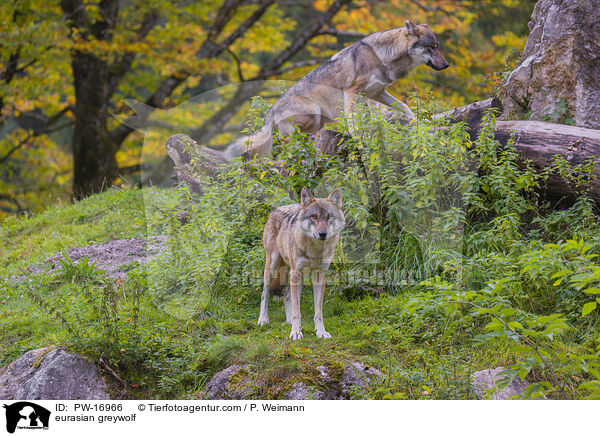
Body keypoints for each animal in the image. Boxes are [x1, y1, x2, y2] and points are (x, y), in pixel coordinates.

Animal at [227, 20, 448, 159]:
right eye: (432, 47)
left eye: (438, 46)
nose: (446, 65)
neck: (381, 56)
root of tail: (271, 110)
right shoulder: (351, 92)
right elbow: (354, 122)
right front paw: (360, 141)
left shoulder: (376, 93)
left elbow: (404, 107)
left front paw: (419, 123)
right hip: (313, 114)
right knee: (285, 145)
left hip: (317, 123)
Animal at [258, 187, 346, 340]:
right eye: (314, 217)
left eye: (329, 216)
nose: (322, 234)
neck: (315, 250)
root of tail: (276, 209)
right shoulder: (295, 273)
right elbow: (296, 311)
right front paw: (296, 332)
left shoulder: (319, 276)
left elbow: (318, 312)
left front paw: (321, 332)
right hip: (273, 267)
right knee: (265, 294)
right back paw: (263, 320)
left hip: (299, 276)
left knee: (287, 296)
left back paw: (288, 322)